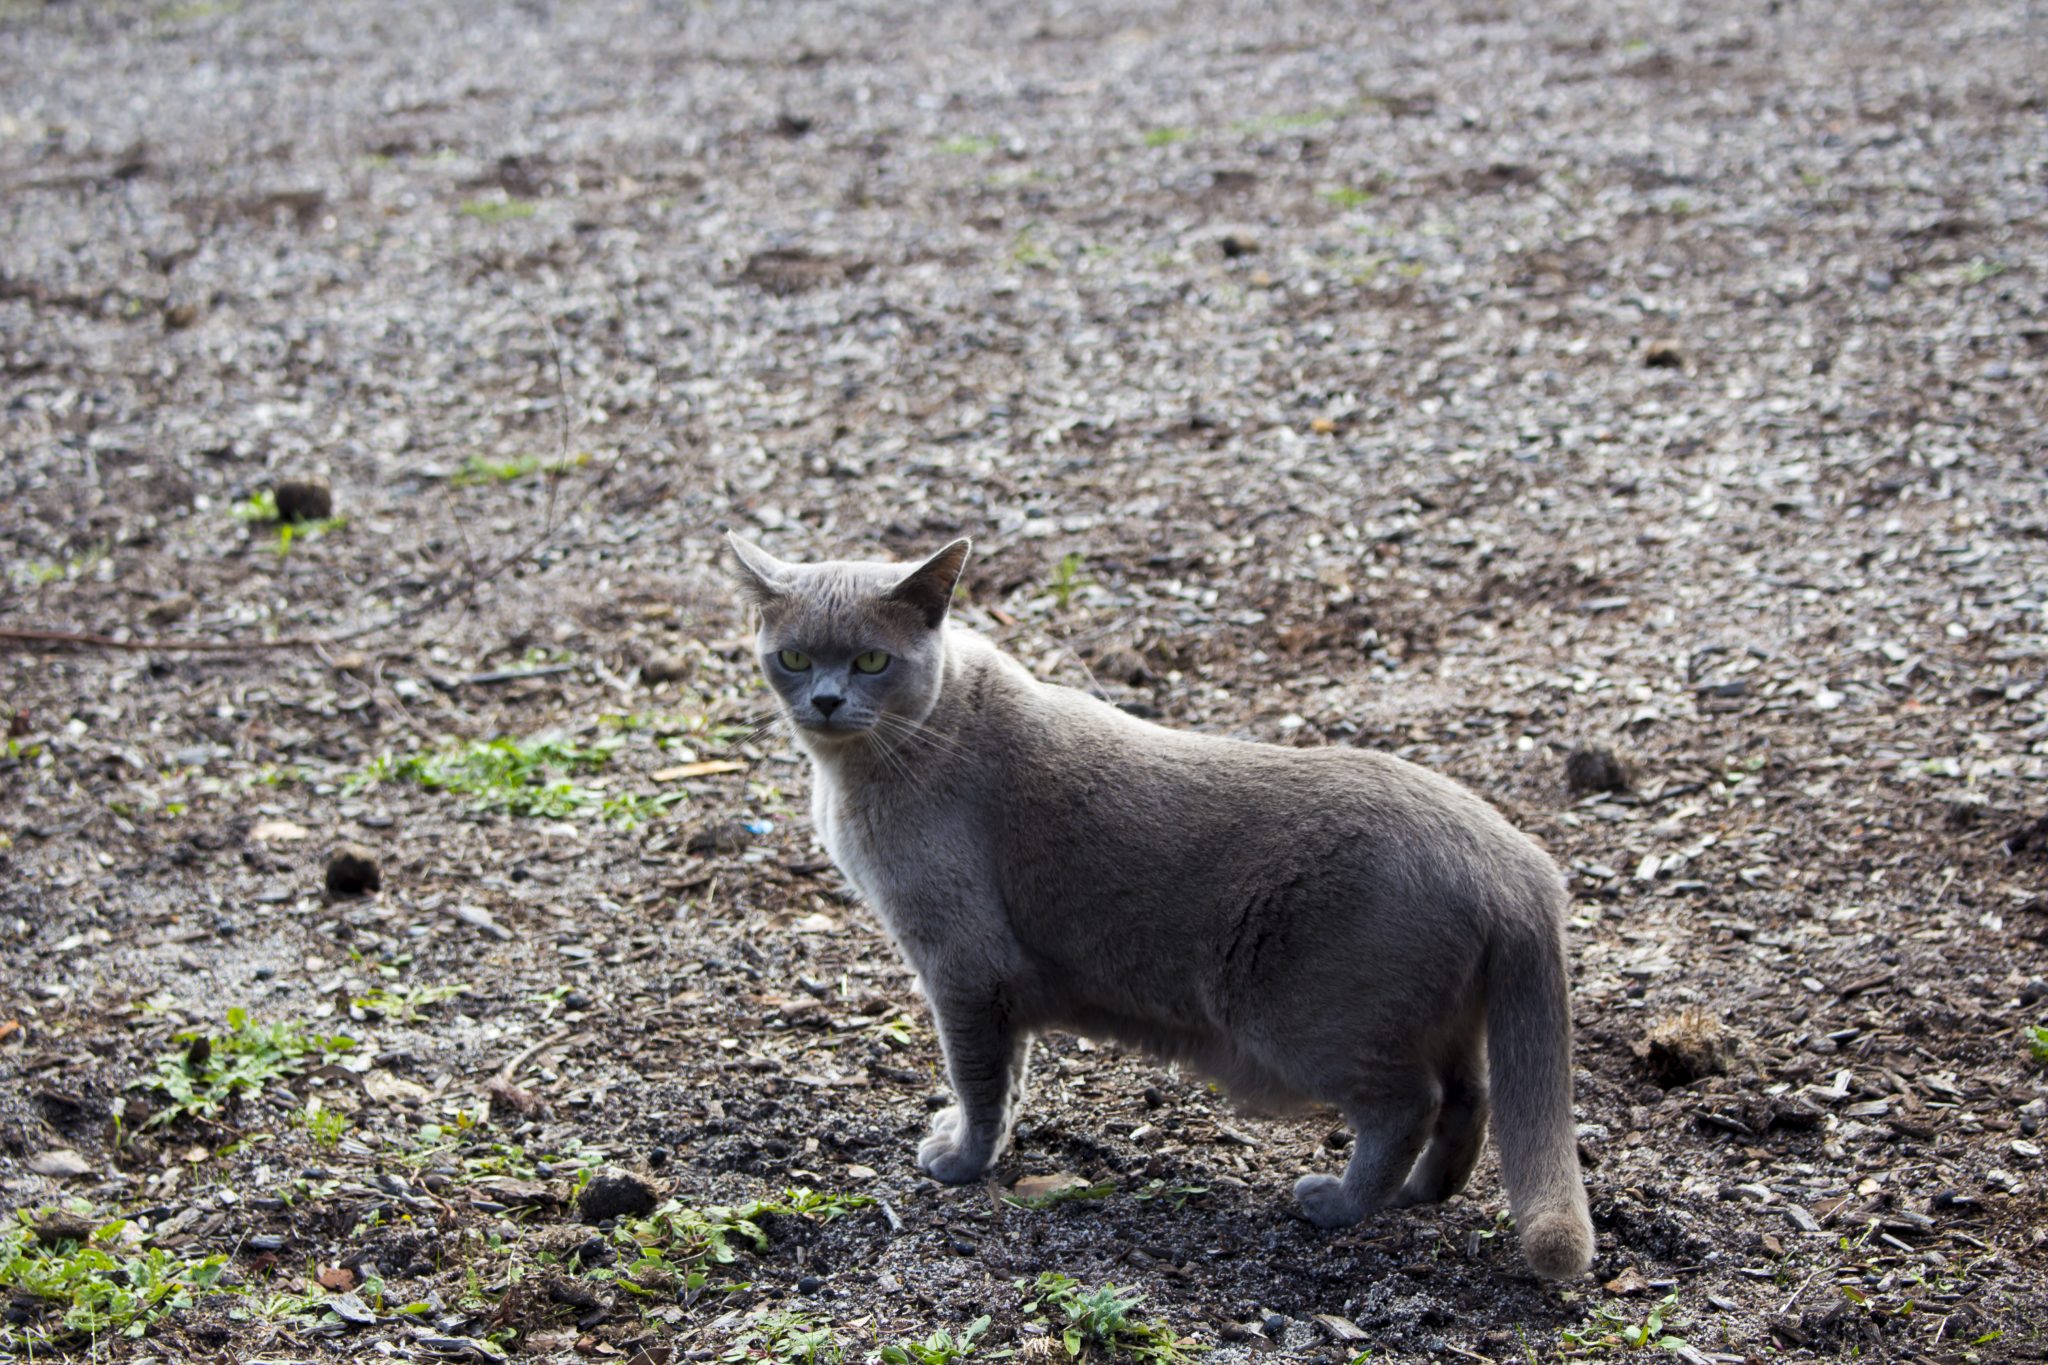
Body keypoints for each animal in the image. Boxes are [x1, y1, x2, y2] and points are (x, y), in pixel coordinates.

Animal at [729, 532, 1589, 1285]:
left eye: (872, 660)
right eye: (793, 657)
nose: (827, 699)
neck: (859, 771)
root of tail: (1514, 858)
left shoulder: (964, 966)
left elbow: (977, 1077)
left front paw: (962, 1162)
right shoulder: (988, 984)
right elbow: (1009, 1076)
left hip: (1311, 1020)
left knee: (1410, 1104)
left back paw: (1338, 1202)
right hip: (1445, 1016)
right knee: (1473, 1096)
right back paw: (1424, 1193)